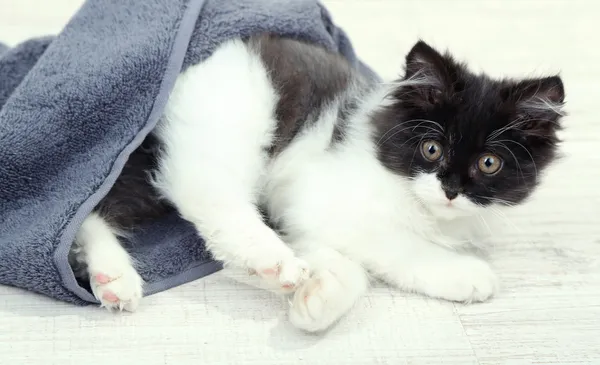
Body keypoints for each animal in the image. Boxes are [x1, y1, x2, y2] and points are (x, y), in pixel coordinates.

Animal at [69, 35, 564, 332]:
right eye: (431, 150)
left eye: (489, 163)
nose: (450, 190)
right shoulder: (326, 199)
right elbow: (394, 247)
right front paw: (465, 274)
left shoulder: (302, 216)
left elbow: (338, 259)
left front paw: (316, 299)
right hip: (231, 121)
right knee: (204, 191)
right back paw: (269, 261)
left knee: (100, 206)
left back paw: (111, 278)